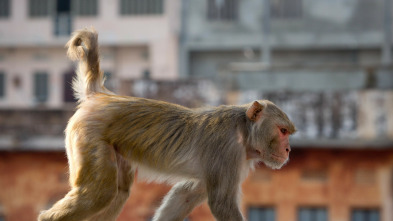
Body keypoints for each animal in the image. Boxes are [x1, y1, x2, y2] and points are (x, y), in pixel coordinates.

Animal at [38, 28, 296, 221]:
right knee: (100, 192)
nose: (287, 149)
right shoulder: (227, 152)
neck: (243, 131)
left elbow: (187, 194)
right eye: (282, 131)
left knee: (118, 193)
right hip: (89, 135)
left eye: (288, 133)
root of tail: (101, 95)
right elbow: (221, 203)